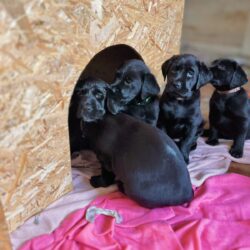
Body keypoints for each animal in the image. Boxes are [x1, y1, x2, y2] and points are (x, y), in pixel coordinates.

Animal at [77, 77, 192, 208]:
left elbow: (106, 174)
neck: (102, 118)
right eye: (79, 93)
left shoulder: (106, 159)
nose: (84, 108)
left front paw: (98, 182)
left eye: (99, 95)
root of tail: (187, 196)